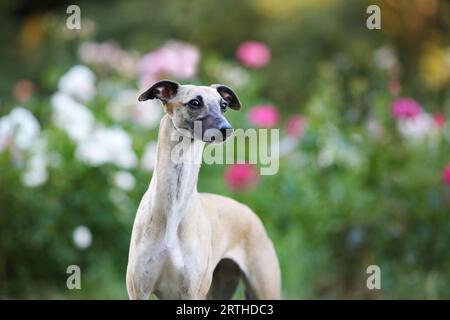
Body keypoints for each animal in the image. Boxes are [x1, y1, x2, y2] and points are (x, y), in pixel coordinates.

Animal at [126, 80, 280, 300]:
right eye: (195, 102)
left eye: (224, 105)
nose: (226, 129)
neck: (174, 210)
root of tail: (249, 212)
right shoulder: (139, 289)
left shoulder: (193, 291)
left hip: (263, 285)